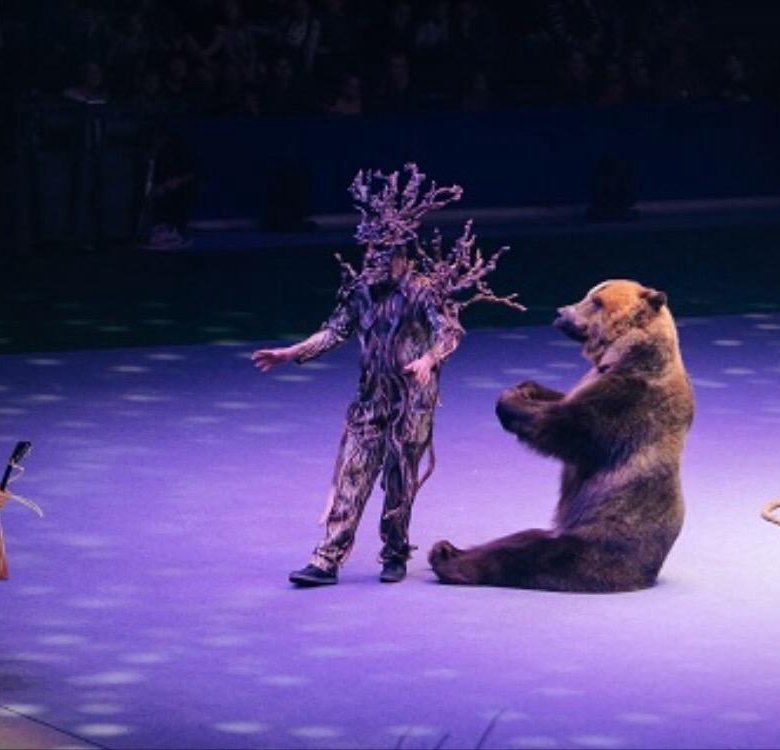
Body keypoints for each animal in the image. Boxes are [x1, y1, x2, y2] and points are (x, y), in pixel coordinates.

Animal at [426, 280, 696, 592]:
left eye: (596, 301)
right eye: (589, 294)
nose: (560, 311)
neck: (626, 353)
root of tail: (648, 574)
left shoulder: (628, 399)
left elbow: (567, 426)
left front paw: (508, 400)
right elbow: (562, 398)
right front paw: (526, 387)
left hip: (601, 540)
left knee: (531, 555)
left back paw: (449, 562)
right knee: (523, 536)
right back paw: (448, 548)